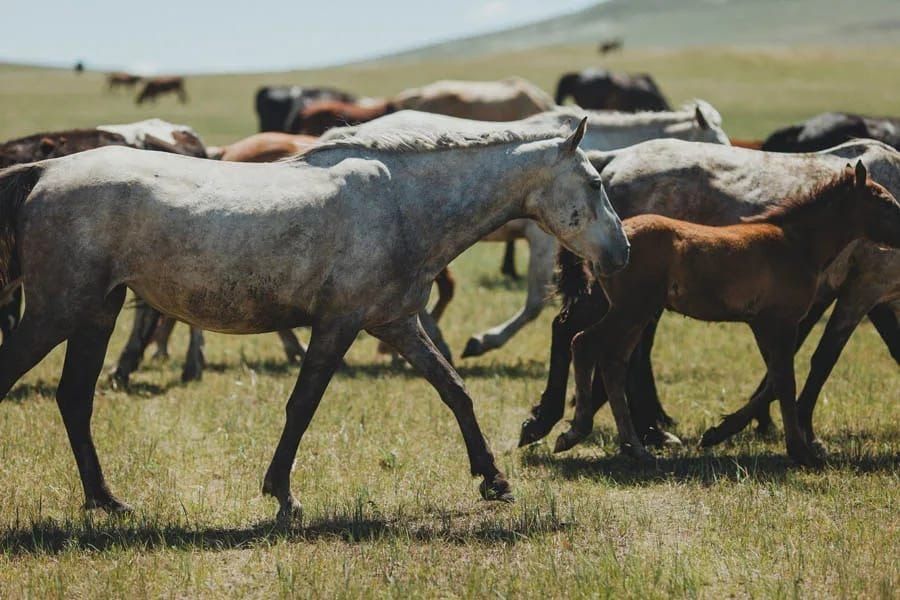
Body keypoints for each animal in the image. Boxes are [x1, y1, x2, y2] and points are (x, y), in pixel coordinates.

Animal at [0, 120, 629, 520]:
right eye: (595, 183)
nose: (621, 252)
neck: (402, 204)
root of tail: (43, 171)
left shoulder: (395, 323)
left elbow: (454, 389)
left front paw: (493, 479)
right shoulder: (340, 324)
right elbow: (302, 405)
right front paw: (282, 496)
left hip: (96, 312)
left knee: (74, 399)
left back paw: (107, 501)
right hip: (57, 312)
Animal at [519, 138, 900, 454]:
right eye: (884, 202)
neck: (793, 241)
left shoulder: (789, 316)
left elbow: (780, 375)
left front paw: (741, 431)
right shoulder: (839, 297)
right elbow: (796, 373)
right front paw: (800, 445)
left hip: (632, 311)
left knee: (611, 358)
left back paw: (635, 440)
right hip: (628, 310)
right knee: (580, 339)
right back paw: (567, 428)